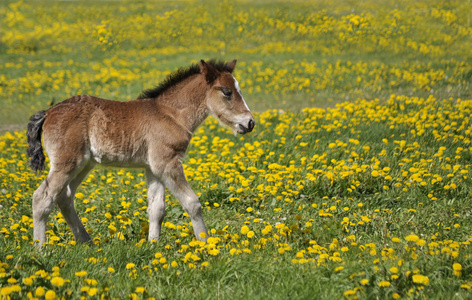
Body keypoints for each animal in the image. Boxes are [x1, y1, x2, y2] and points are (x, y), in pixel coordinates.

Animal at [26, 59, 254, 248]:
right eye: (227, 92)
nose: (250, 123)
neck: (171, 114)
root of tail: (48, 112)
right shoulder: (167, 163)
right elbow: (192, 202)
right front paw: (206, 244)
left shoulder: (153, 168)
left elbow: (157, 209)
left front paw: (153, 246)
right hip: (67, 163)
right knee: (42, 198)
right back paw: (41, 249)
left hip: (84, 164)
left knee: (65, 198)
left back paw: (86, 243)